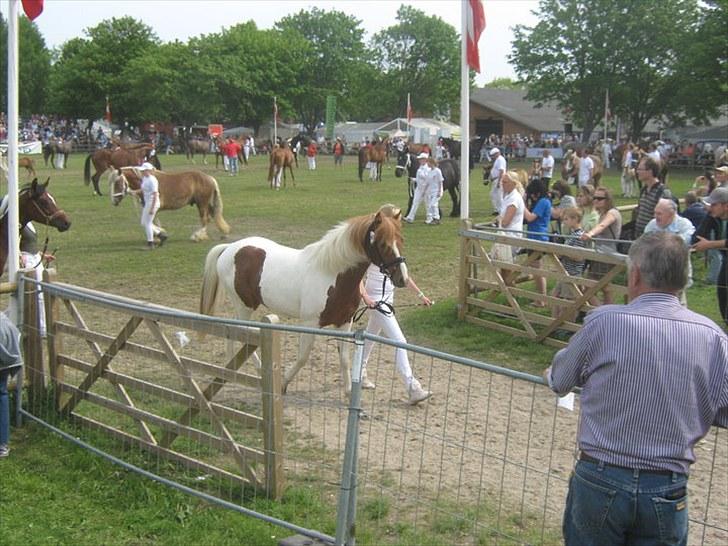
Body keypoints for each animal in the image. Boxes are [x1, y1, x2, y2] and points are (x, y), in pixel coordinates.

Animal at [199, 204, 410, 392]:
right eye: (382, 243)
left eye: (401, 240)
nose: (403, 278)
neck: (331, 273)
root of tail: (229, 248)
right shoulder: (310, 323)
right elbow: (302, 357)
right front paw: (283, 383)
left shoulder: (344, 322)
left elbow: (344, 359)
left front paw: (349, 391)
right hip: (245, 306)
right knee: (242, 334)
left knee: (234, 331)